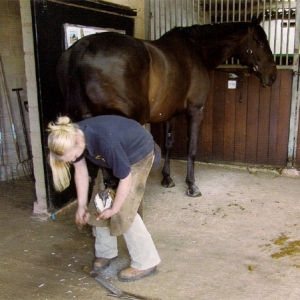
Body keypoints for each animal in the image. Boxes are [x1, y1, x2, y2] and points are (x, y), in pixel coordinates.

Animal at [56, 13, 276, 197]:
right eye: (259, 41)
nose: (272, 76)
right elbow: (191, 147)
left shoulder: (168, 114)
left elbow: (169, 144)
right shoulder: (196, 111)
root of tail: (83, 45)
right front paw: (191, 185)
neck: (196, 51)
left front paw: (167, 178)